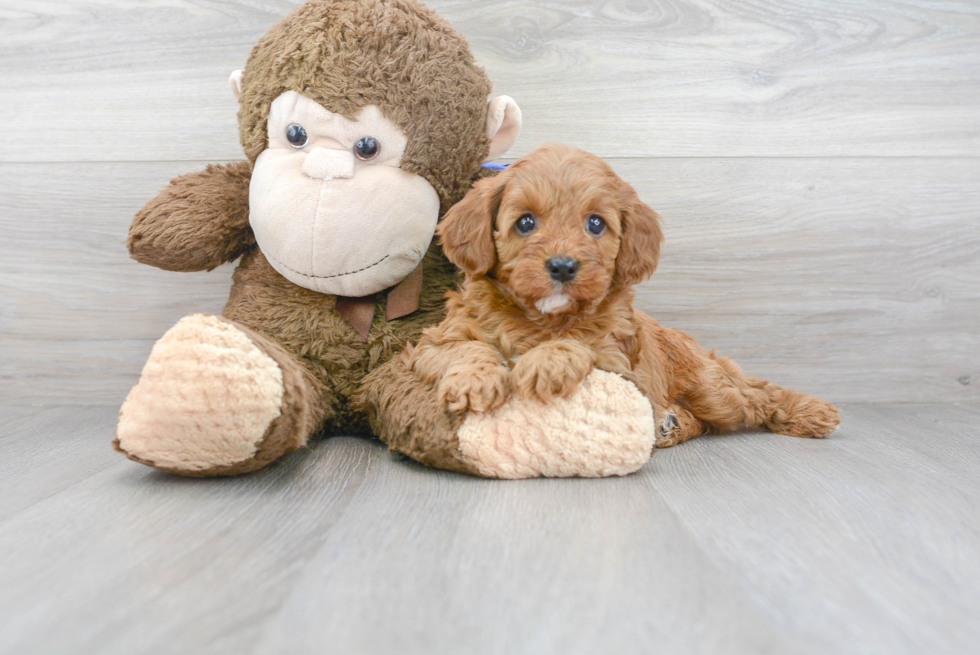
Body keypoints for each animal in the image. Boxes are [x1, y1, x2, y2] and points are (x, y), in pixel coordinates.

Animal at [402, 144, 840, 448]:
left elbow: (580, 342)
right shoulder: (434, 342)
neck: (540, 319)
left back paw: (813, 412)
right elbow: (468, 348)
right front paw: (474, 381)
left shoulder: (620, 365)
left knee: (757, 395)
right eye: (525, 223)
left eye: (596, 224)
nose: (563, 267)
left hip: (714, 388)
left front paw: (547, 363)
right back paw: (670, 425)